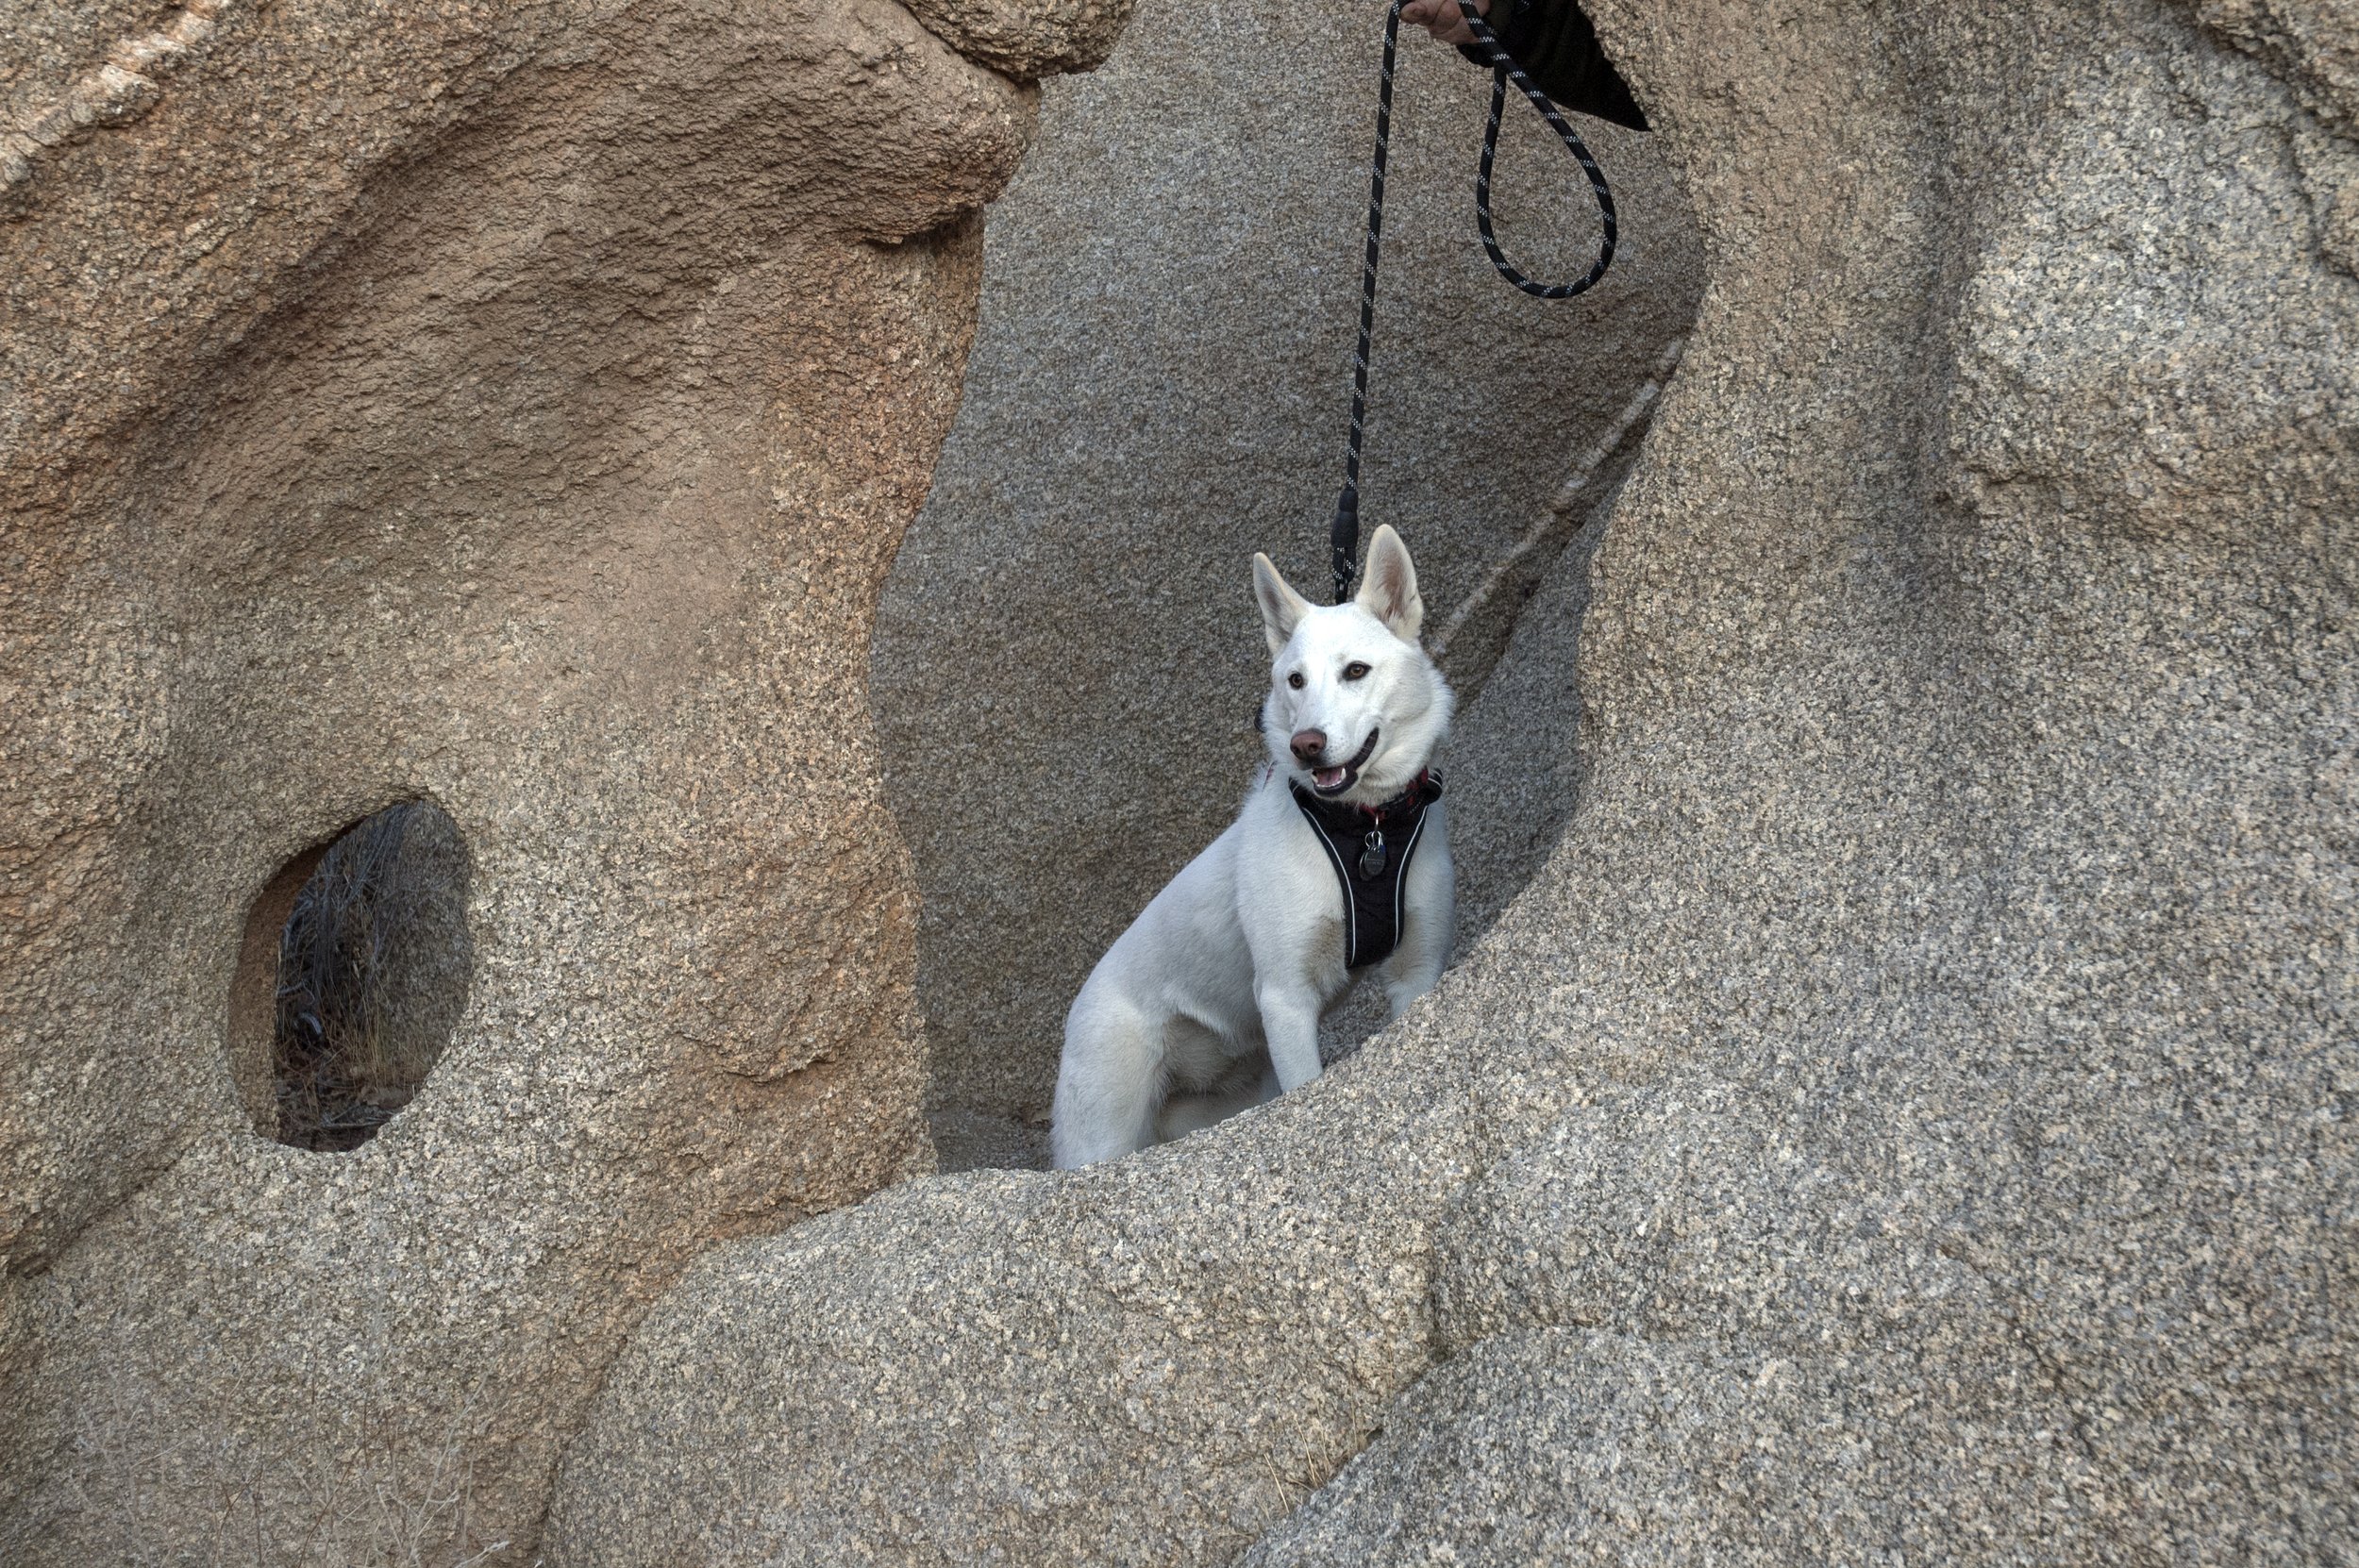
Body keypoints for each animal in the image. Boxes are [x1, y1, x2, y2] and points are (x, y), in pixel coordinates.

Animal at [1057, 525, 1453, 1159]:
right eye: (1295, 681)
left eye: (1356, 671)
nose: (1305, 745)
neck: (1361, 831)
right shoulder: (1287, 998)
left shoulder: (1416, 974)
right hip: (1103, 1134)